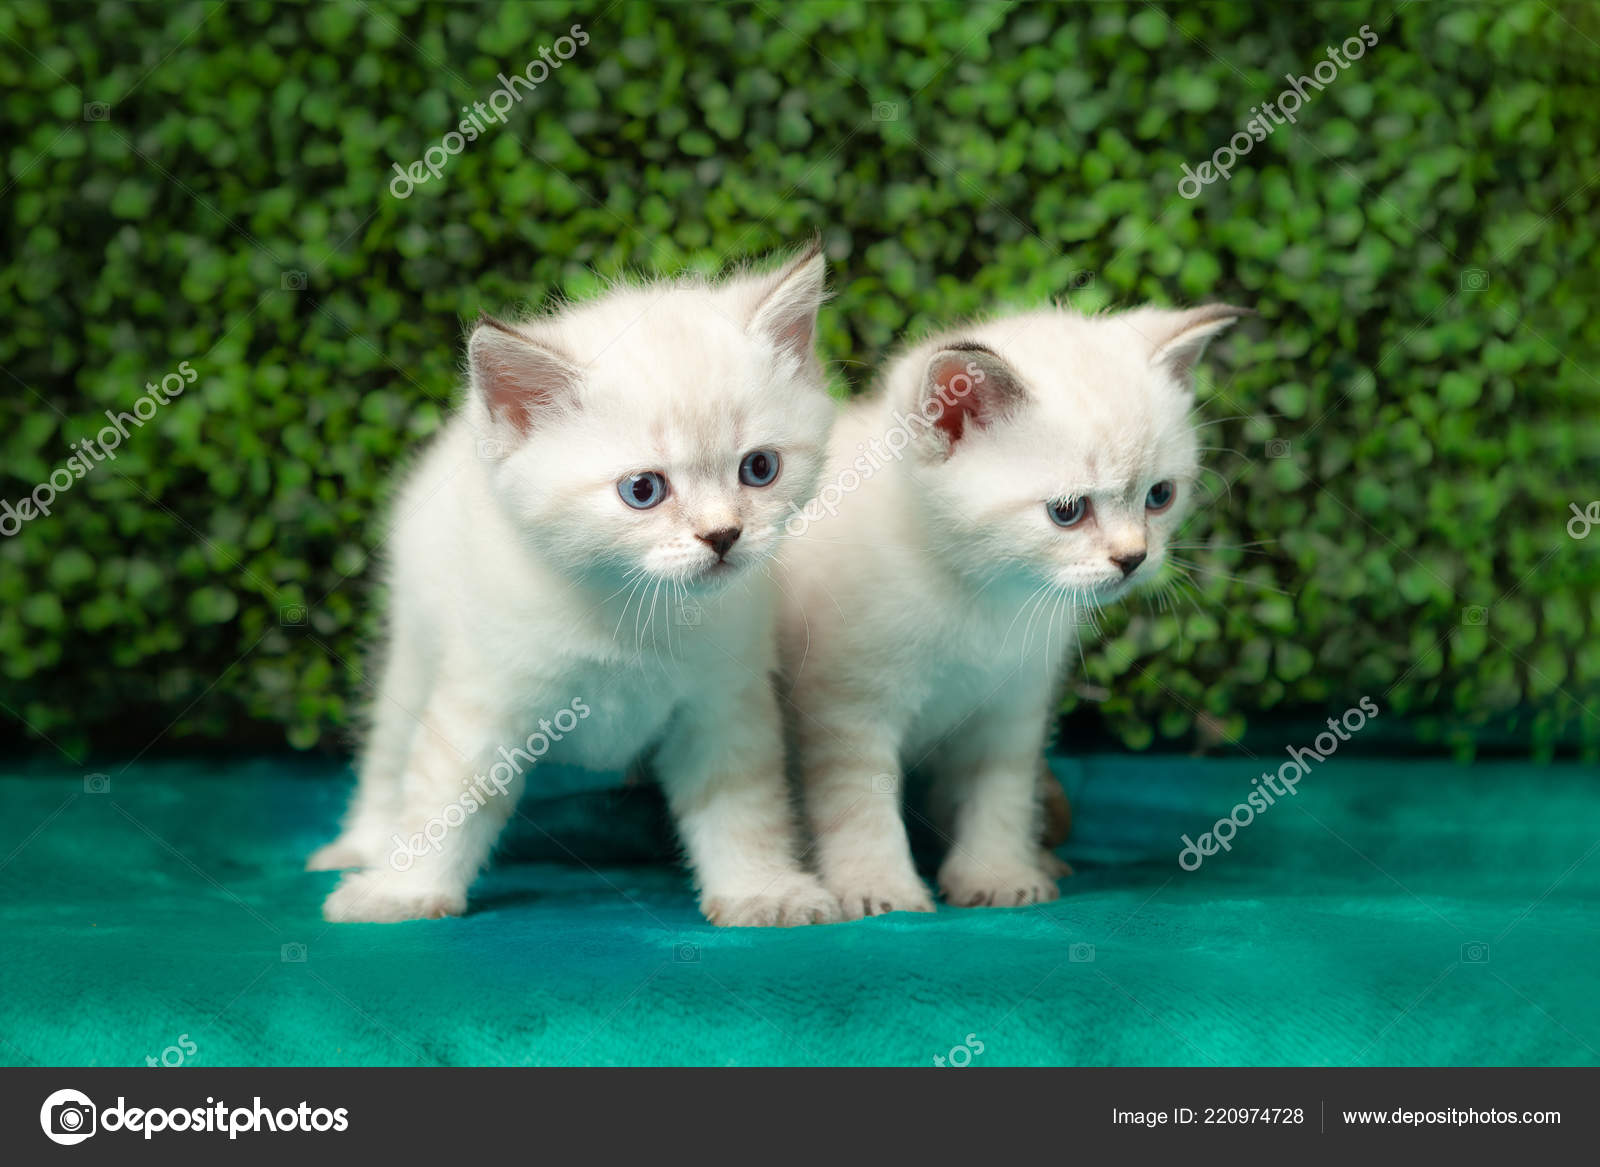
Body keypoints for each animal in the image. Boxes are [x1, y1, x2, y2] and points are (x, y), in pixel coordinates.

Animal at [304, 243, 844, 928]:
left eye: (760, 468)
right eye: (642, 490)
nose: (723, 535)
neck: (628, 609)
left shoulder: (724, 704)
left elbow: (741, 805)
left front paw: (761, 889)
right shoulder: (483, 693)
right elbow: (442, 797)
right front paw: (401, 891)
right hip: (414, 650)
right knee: (388, 753)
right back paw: (361, 845)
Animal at [774, 302, 1248, 922]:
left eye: (1159, 496)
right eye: (1067, 511)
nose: (1133, 558)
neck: (981, 595)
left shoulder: (1013, 707)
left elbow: (999, 796)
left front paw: (998, 875)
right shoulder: (849, 709)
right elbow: (859, 806)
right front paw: (880, 888)